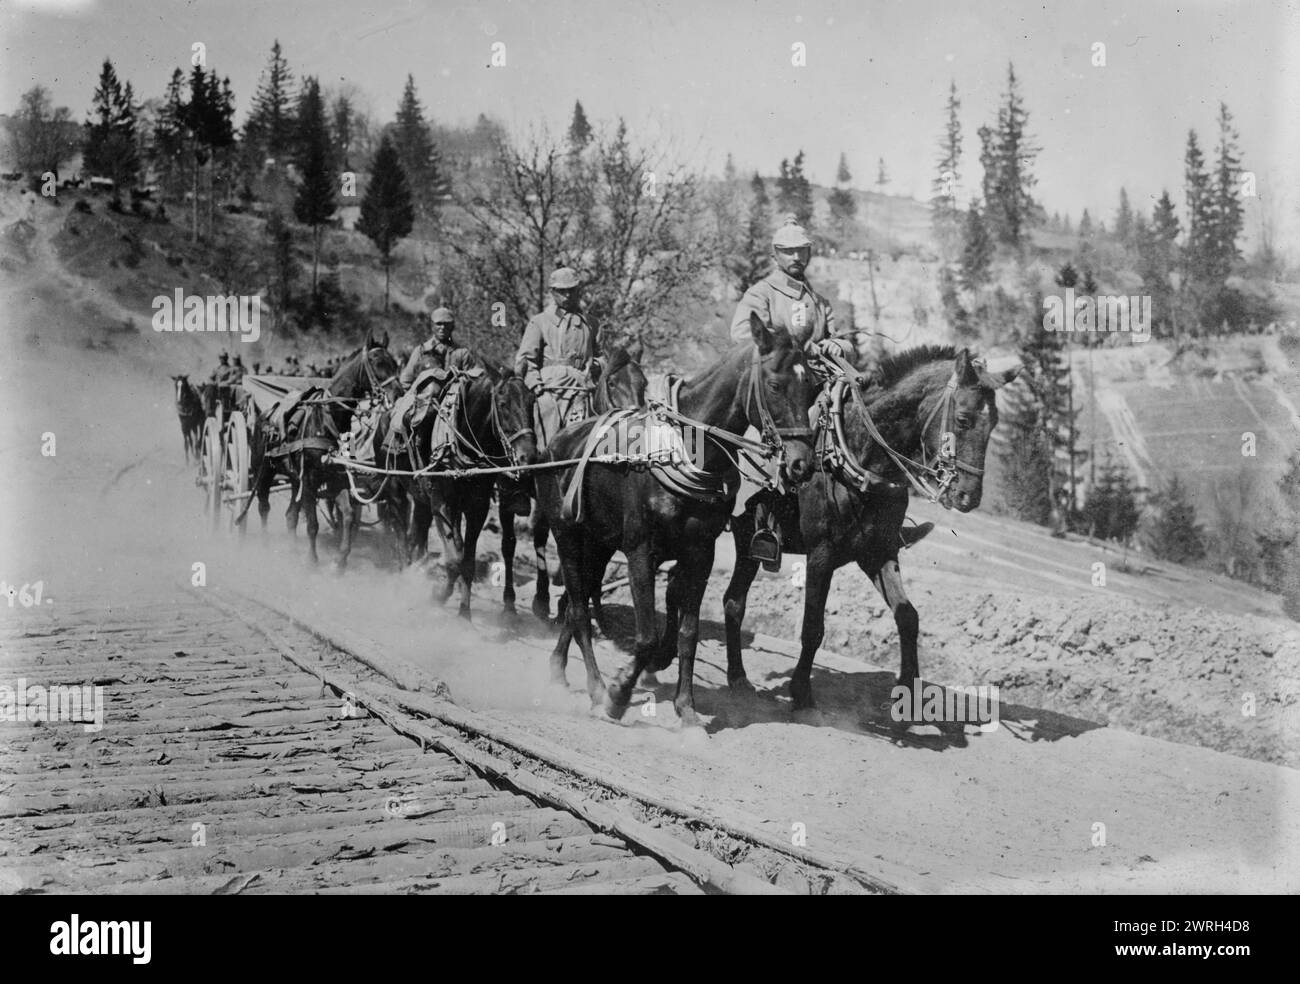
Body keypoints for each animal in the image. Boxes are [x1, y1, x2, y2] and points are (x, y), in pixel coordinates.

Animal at [249, 340, 400, 561]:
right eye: (377, 362)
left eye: (394, 363)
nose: (399, 394)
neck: (326, 420)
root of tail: (265, 414)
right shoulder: (309, 480)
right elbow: (313, 524)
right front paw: (312, 560)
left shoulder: (335, 478)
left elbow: (348, 514)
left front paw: (341, 558)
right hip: (264, 471)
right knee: (263, 507)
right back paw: (265, 544)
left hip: (294, 479)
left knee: (290, 515)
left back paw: (292, 549)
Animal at [535, 318, 811, 727]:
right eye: (775, 384)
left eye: (813, 387)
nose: (801, 464)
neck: (685, 451)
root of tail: (559, 441)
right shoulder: (640, 552)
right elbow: (647, 636)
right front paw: (619, 695)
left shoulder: (701, 554)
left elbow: (688, 632)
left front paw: (687, 708)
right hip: (567, 534)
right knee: (579, 610)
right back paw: (596, 687)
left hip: (598, 543)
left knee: (576, 601)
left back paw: (557, 668)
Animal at [722, 345, 1013, 707]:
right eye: (963, 419)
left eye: (995, 424)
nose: (968, 496)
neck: (855, 461)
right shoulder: (821, 554)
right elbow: (813, 627)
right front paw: (801, 690)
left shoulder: (878, 552)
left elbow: (908, 617)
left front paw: (907, 691)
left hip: (747, 543)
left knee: (733, 603)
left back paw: (737, 676)